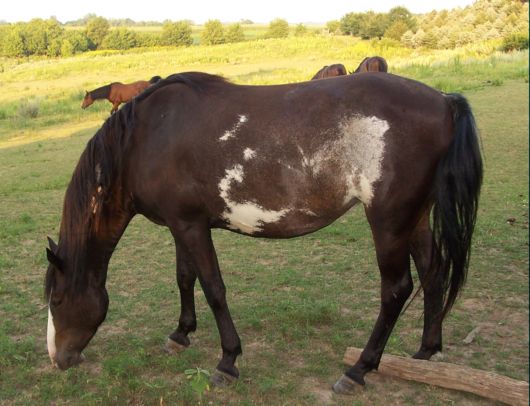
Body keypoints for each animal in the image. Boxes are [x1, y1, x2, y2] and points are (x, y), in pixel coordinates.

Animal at [47, 71, 480, 392]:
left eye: (57, 300)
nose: (59, 360)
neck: (147, 136)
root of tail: (444, 100)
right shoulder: (181, 223)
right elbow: (185, 277)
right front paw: (181, 334)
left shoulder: (190, 227)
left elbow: (213, 288)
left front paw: (227, 361)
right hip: (415, 218)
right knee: (433, 273)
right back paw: (426, 353)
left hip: (389, 221)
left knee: (396, 290)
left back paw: (359, 369)